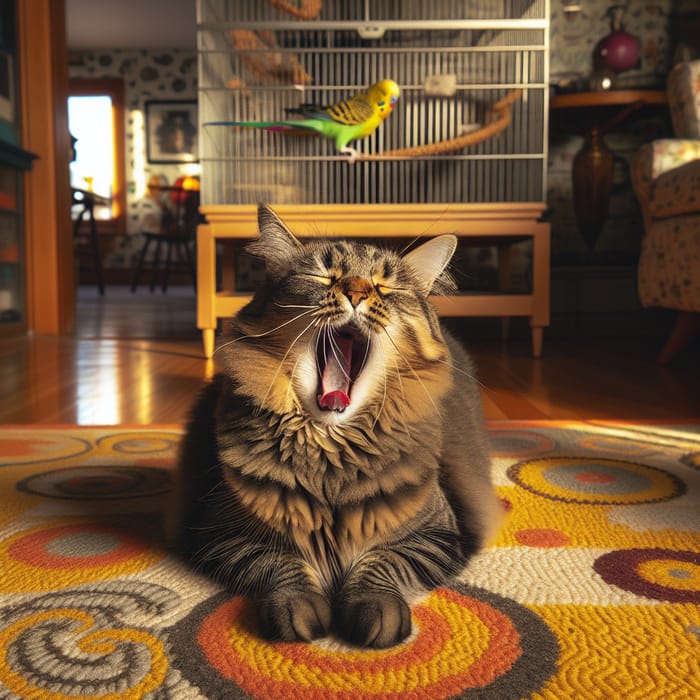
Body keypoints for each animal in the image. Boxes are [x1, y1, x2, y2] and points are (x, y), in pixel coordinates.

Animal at [175, 205, 504, 648]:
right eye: (324, 276)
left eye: (384, 286)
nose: (357, 293)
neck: (330, 455)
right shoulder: (221, 533)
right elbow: (280, 564)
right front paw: (298, 608)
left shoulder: (438, 535)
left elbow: (382, 563)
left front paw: (375, 611)